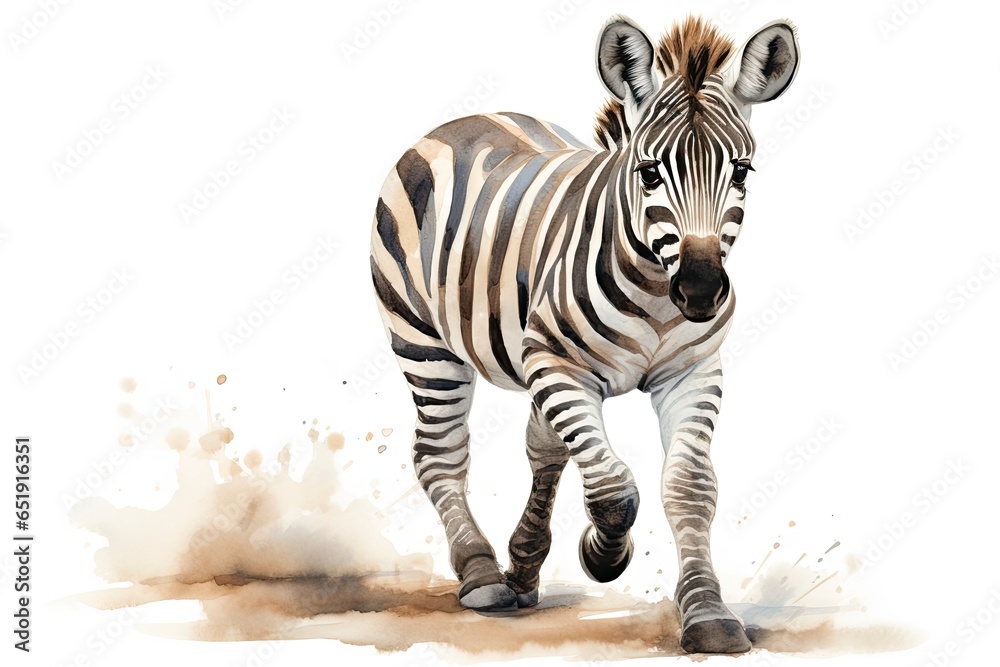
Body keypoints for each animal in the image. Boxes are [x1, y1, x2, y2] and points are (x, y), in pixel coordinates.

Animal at [369, 14, 799, 654]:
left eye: (742, 172)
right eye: (649, 172)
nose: (700, 292)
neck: (655, 289)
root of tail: (466, 119)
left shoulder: (692, 371)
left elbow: (689, 487)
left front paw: (707, 613)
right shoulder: (559, 365)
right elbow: (615, 490)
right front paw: (603, 555)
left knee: (542, 447)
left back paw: (523, 567)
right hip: (425, 342)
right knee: (440, 453)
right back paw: (482, 574)